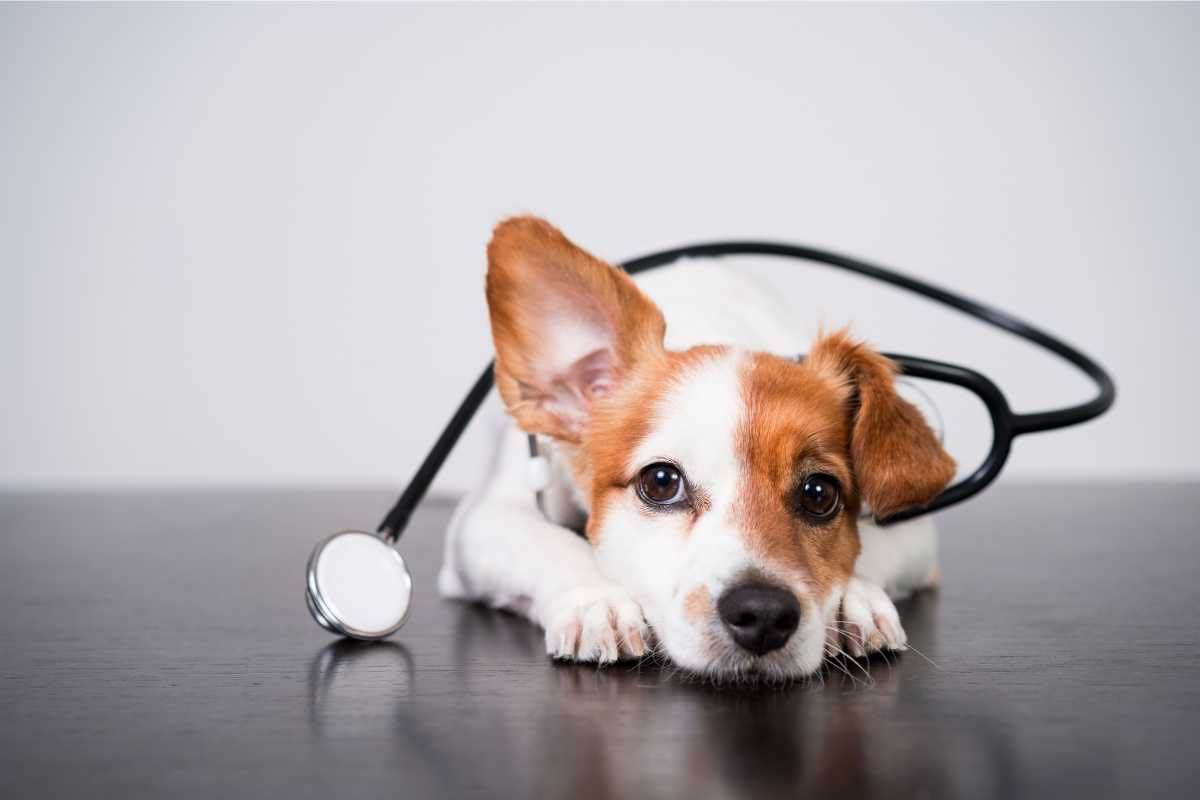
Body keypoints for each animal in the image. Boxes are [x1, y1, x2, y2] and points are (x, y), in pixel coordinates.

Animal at [441, 215, 955, 681]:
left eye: (819, 493)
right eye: (660, 482)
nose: (763, 613)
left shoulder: (915, 532)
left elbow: (873, 546)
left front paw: (854, 598)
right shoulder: (483, 520)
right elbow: (550, 542)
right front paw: (597, 599)